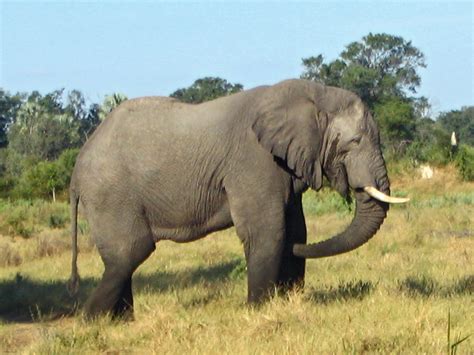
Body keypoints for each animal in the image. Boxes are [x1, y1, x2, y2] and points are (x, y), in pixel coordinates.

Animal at [66, 80, 408, 320]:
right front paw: (258, 310)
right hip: (111, 194)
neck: (312, 94)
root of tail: (76, 171)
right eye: (354, 142)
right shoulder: (253, 161)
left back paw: (119, 322)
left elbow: (296, 229)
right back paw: (91, 321)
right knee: (130, 253)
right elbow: (269, 231)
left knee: (123, 259)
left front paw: (288, 299)